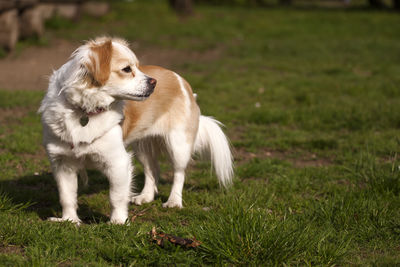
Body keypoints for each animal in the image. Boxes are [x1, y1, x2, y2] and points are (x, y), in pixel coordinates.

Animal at [39, 36, 233, 225]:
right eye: (127, 69)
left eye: (138, 67)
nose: (154, 82)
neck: (84, 112)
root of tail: (180, 80)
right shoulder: (62, 163)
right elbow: (66, 196)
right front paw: (69, 220)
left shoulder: (118, 161)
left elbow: (116, 196)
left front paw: (118, 221)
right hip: (142, 148)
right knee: (152, 169)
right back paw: (146, 196)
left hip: (178, 145)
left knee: (179, 173)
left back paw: (174, 201)